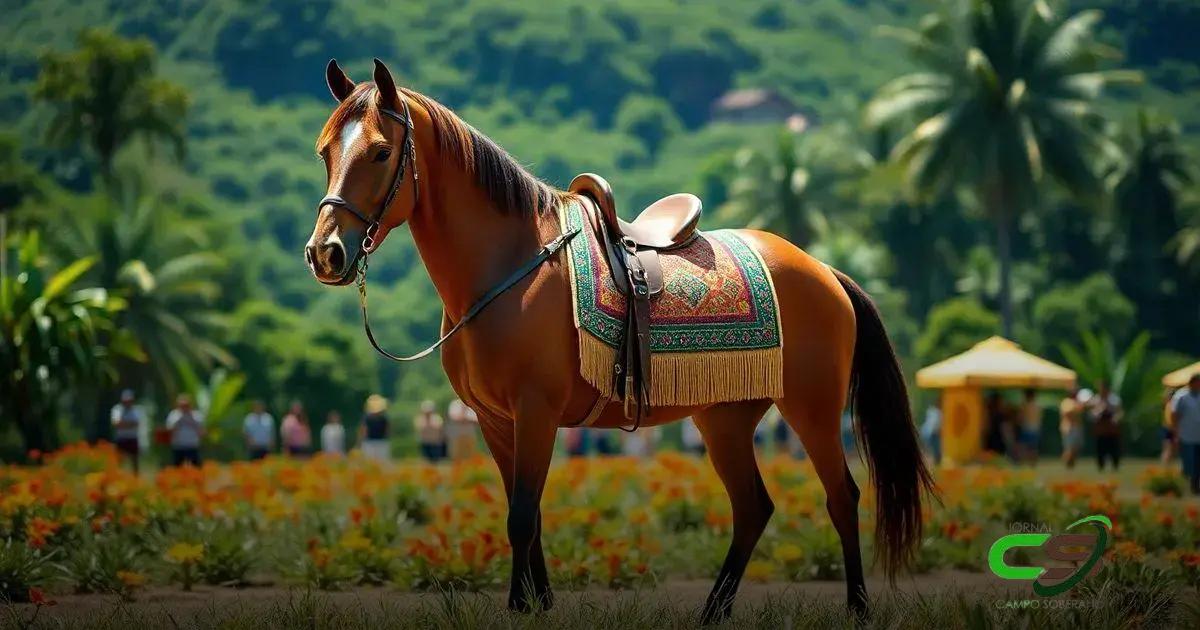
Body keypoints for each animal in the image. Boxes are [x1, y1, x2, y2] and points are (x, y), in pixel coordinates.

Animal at [304, 58, 934, 623]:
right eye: (326, 151)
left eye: (380, 151)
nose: (326, 253)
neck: (510, 266)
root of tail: (825, 270)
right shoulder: (494, 420)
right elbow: (525, 512)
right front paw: (538, 603)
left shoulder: (535, 410)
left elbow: (522, 515)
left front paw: (520, 607)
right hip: (725, 418)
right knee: (753, 507)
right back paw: (713, 610)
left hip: (812, 408)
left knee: (841, 497)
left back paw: (856, 607)